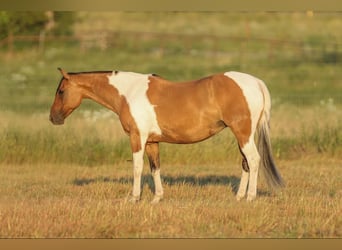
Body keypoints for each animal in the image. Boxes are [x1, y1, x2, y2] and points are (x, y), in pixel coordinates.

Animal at [48, 68, 284, 203]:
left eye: (61, 91)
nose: (53, 118)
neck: (129, 92)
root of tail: (255, 82)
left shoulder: (137, 138)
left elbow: (137, 168)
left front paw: (134, 198)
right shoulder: (152, 141)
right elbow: (155, 168)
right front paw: (156, 198)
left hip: (243, 134)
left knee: (253, 161)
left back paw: (250, 197)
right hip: (243, 135)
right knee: (246, 163)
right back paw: (239, 196)